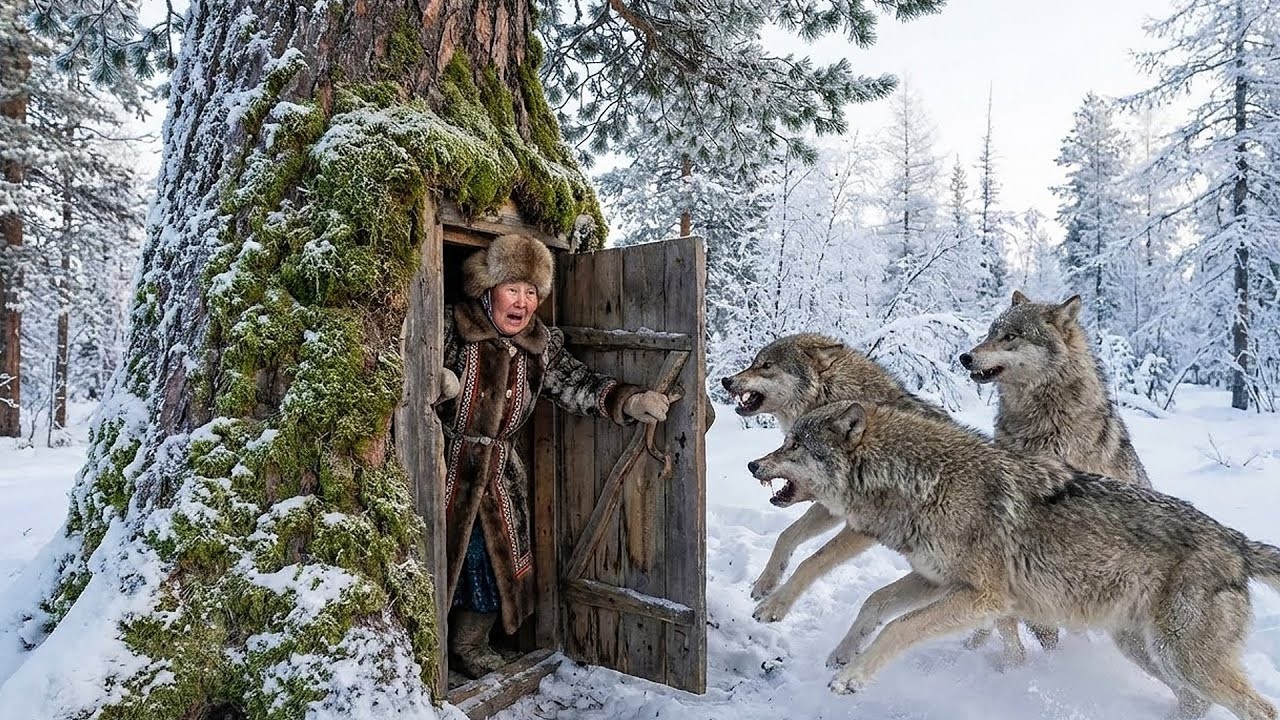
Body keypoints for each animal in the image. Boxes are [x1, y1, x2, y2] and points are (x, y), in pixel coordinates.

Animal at [720, 333, 953, 624]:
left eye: (766, 365)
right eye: (754, 362)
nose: (726, 380)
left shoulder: (861, 528)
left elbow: (813, 560)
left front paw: (775, 606)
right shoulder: (831, 506)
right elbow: (786, 535)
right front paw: (766, 582)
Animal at [748, 401, 1280, 720]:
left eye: (794, 445)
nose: (753, 464)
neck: (920, 482)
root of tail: (1236, 542)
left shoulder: (983, 599)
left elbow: (899, 627)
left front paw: (851, 678)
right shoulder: (935, 580)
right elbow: (874, 604)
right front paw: (842, 653)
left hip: (1181, 657)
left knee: (1258, 710)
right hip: (1148, 652)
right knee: (1194, 704)